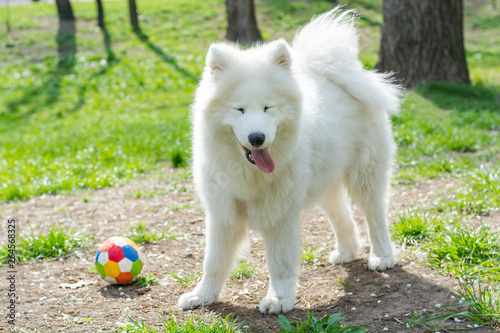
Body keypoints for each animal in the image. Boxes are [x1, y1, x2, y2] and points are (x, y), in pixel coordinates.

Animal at [178, 8, 400, 314]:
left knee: (375, 216)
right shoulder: (223, 213)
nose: (257, 137)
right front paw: (202, 296)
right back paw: (346, 251)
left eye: (268, 107)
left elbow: (280, 264)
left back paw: (382, 257)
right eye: (239, 109)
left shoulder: (279, 216)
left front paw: (279, 300)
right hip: (325, 181)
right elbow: (213, 262)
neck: (247, 171)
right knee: (342, 216)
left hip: (365, 177)